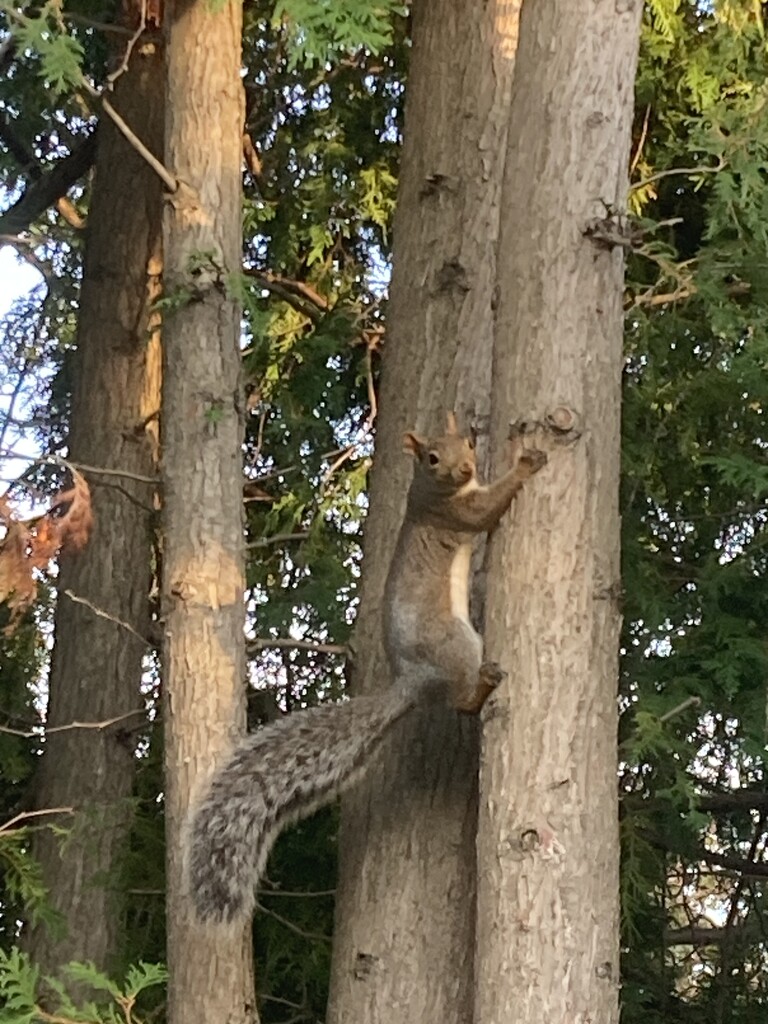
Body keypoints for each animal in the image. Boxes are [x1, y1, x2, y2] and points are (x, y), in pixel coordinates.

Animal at [186, 411, 548, 925]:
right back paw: (484, 682)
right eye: (431, 458)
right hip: (457, 644)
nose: (463, 468)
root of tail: (413, 683)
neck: (433, 491)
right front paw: (526, 464)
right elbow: (486, 509)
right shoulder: (453, 514)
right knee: (462, 700)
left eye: (466, 442)